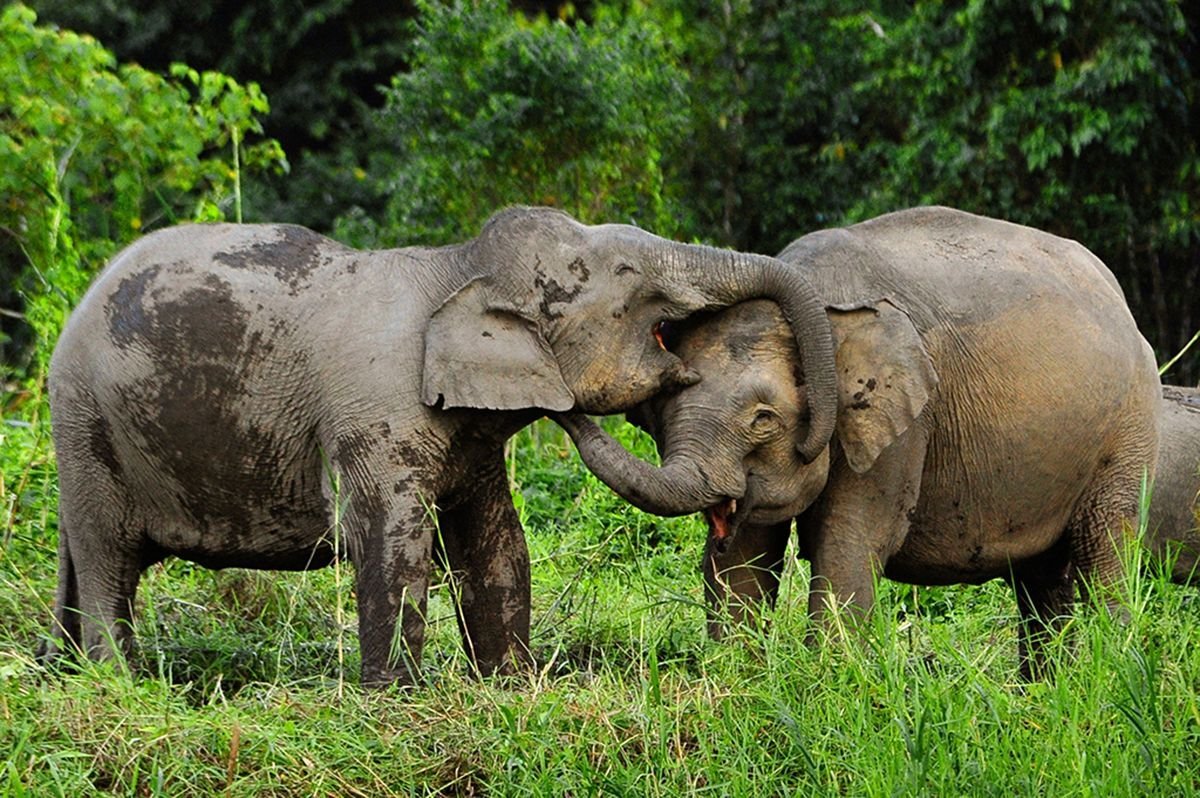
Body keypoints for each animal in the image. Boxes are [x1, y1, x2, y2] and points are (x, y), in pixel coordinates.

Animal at [42, 205, 840, 686]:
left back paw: (67, 674)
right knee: (109, 556)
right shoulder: (375, 415)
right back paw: (124, 687)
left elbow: (496, 540)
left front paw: (511, 689)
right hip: (86, 427)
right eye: (627, 276)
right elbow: (393, 542)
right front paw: (396, 703)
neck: (455, 269)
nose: (808, 438)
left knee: (86, 560)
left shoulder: (470, 435)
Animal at [559, 206, 1161, 676]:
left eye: (763, 419)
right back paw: (1043, 691)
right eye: (658, 413)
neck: (813, 301)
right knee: (1041, 578)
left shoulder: (903, 422)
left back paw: (1111, 676)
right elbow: (746, 559)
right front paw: (738, 683)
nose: (560, 410)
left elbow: (849, 542)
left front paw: (830, 687)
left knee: (1105, 549)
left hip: (1130, 427)